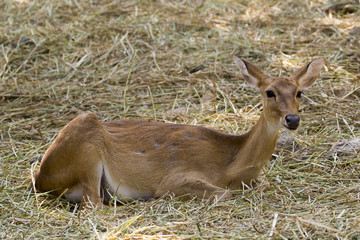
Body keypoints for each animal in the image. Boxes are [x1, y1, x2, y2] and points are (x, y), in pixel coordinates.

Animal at [29, 56, 324, 208]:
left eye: (299, 92)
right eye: (269, 92)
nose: (292, 119)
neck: (229, 166)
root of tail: (40, 178)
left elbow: (264, 184)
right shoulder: (176, 177)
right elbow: (223, 194)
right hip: (87, 141)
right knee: (93, 206)